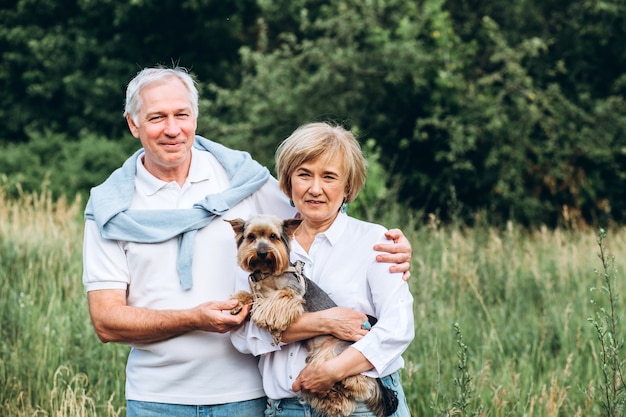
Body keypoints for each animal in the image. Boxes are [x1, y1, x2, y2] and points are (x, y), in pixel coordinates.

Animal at [227, 214, 398, 416]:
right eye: (251, 237)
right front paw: (237, 303)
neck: (267, 273)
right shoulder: (258, 292)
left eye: (272, 237)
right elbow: (251, 297)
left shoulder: (293, 294)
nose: (261, 252)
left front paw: (264, 315)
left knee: (360, 380)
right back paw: (332, 401)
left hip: (332, 354)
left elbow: (276, 299)